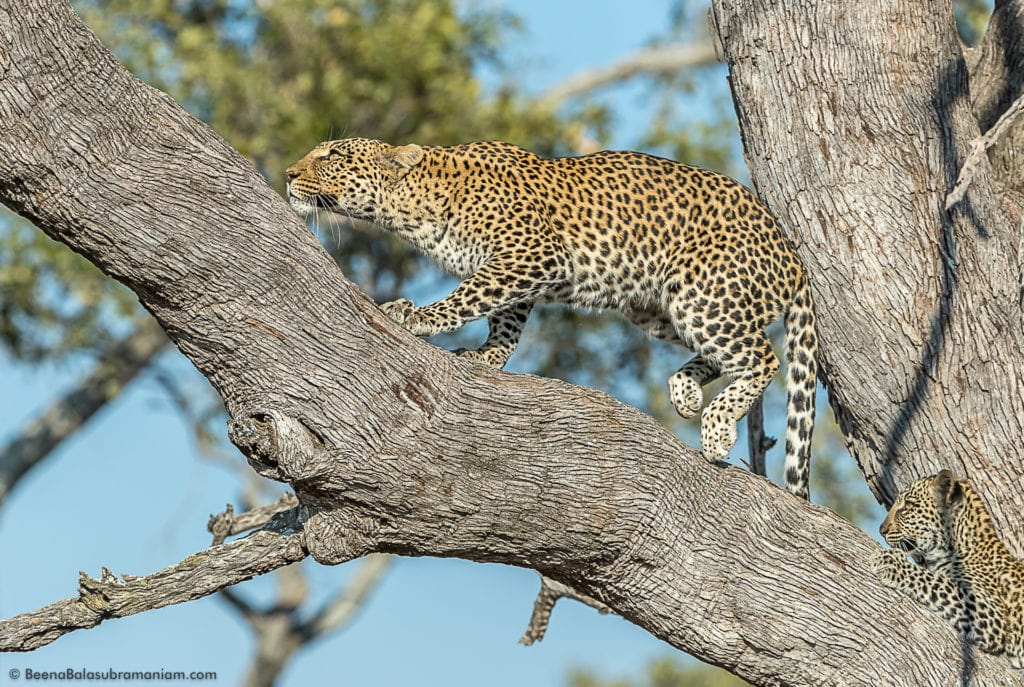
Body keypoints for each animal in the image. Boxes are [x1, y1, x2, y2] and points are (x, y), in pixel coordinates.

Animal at [284, 138, 819, 499]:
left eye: (332, 155)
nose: (288, 174)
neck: (413, 205)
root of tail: (794, 256)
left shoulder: (533, 253)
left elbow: (469, 295)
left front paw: (418, 316)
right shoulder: (516, 271)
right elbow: (504, 320)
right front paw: (485, 357)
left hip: (700, 291)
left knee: (762, 356)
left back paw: (717, 427)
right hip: (656, 307)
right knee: (723, 351)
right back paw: (685, 390)